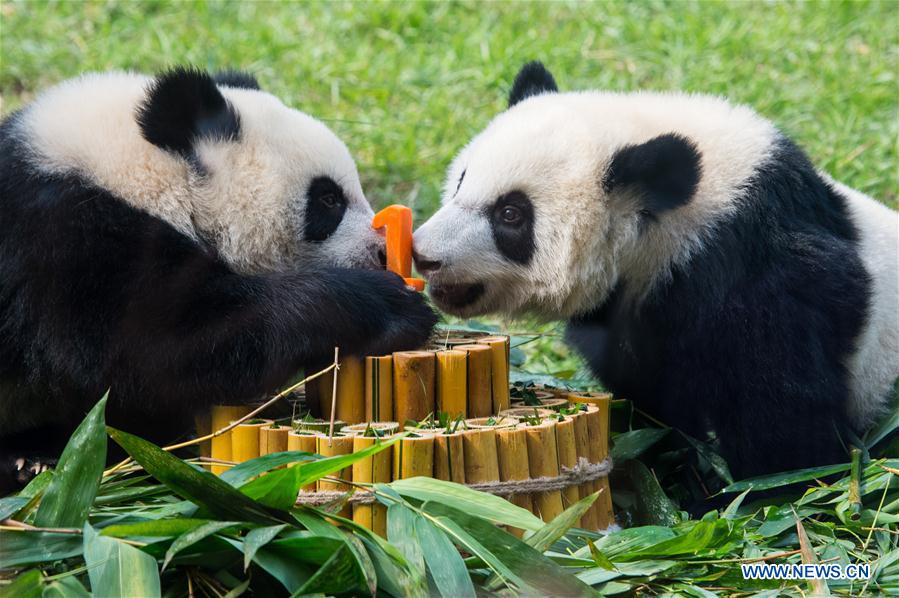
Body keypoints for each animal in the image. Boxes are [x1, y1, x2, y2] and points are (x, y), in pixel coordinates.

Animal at [0, 67, 436, 488]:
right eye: (328, 199)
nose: (382, 252)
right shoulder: (69, 244)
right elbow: (159, 349)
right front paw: (390, 307)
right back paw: (29, 461)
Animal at [413, 62, 898, 479]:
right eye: (461, 181)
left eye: (511, 214)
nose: (423, 255)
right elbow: (655, 399)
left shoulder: (758, 271)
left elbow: (782, 414)